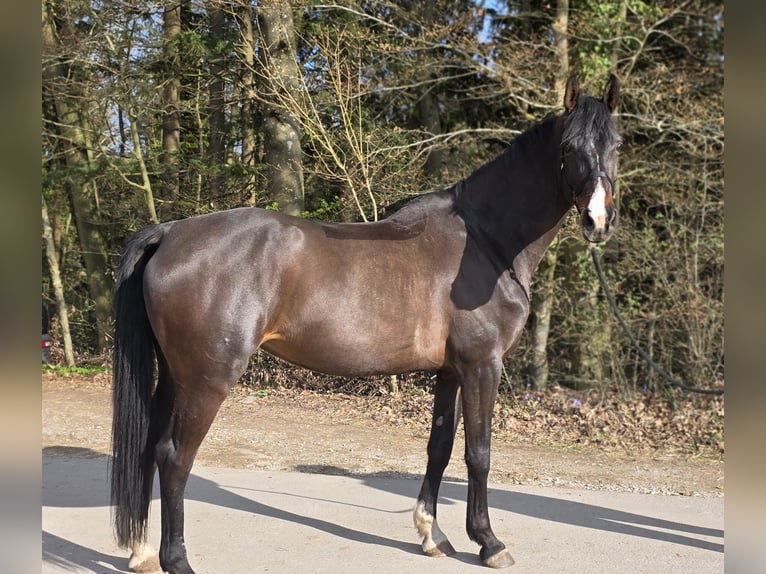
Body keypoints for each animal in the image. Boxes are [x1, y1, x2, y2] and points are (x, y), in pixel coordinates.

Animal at [111, 74, 621, 573]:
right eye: (569, 147)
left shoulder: (450, 371)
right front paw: (489, 542)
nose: (598, 221)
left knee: (149, 450)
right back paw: (176, 560)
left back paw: (142, 553)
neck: (485, 243)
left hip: (173, 375)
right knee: (175, 457)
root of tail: (170, 232)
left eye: (616, 144)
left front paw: (432, 534)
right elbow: (479, 453)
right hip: (207, 379)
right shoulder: (482, 366)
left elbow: (439, 448)